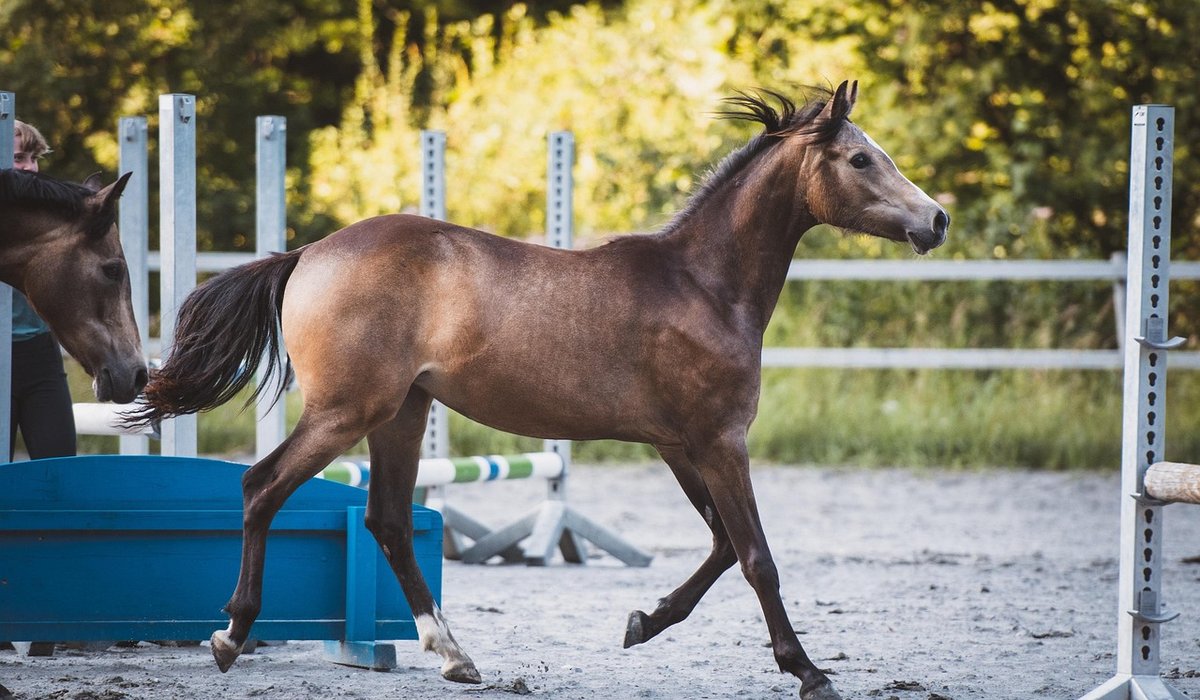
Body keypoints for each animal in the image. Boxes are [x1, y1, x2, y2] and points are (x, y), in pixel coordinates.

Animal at [127, 81, 948, 700]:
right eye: (860, 158)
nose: (936, 220)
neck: (704, 286)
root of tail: (306, 254)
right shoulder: (719, 442)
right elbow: (756, 556)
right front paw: (807, 671)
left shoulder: (681, 445)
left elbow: (719, 546)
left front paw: (642, 621)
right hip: (345, 413)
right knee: (263, 488)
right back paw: (231, 635)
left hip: (401, 414)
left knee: (387, 520)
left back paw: (453, 655)